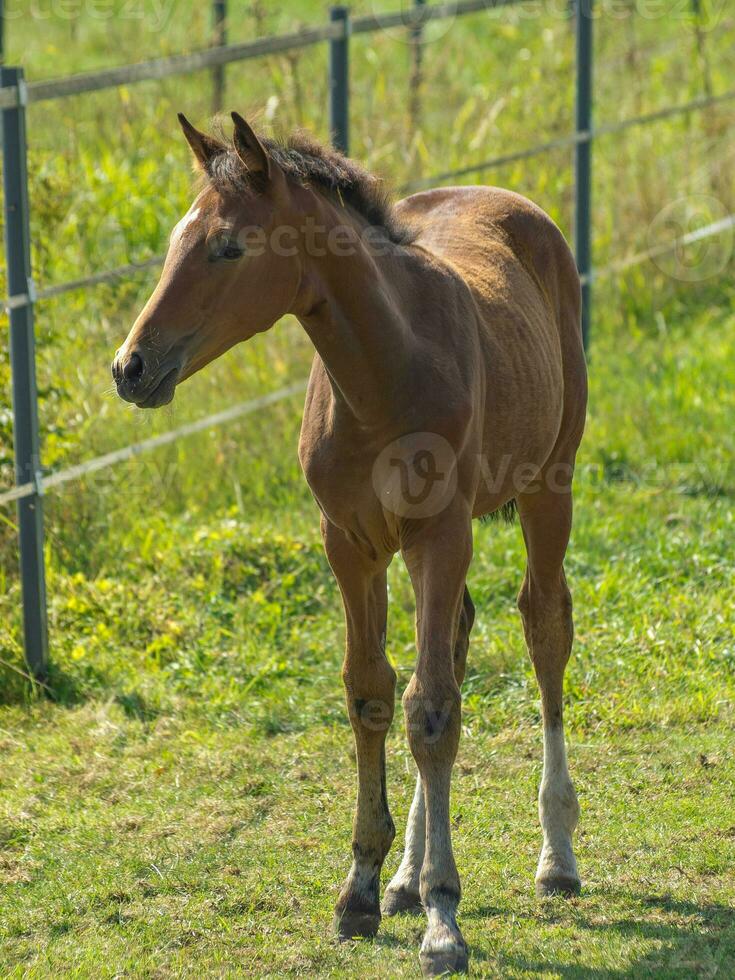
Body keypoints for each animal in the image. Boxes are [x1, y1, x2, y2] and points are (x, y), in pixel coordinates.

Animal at [112, 113, 588, 972]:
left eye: (228, 247)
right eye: (174, 240)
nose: (130, 366)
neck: (384, 373)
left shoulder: (440, 534)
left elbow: (430, 708)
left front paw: (443, 917)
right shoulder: (350, 543)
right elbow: (371, 694)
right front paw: (364, 887)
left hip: (548, 486)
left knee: (544, 629)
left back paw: (556, 856)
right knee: (460, 636)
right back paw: (403, 880)